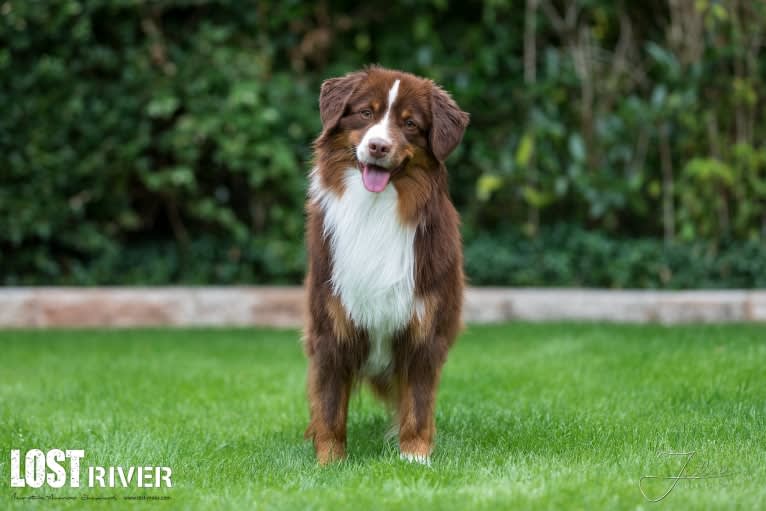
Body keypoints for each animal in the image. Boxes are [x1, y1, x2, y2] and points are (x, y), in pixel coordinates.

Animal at [304, 66, 472, 466]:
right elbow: (329, 405)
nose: (379, 146)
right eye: (366, 113)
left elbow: (418, 404)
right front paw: (328, 463)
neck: (374, 210)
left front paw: (415, 457)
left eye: (410, 124)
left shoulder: (424, 328)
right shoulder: (330, 326)